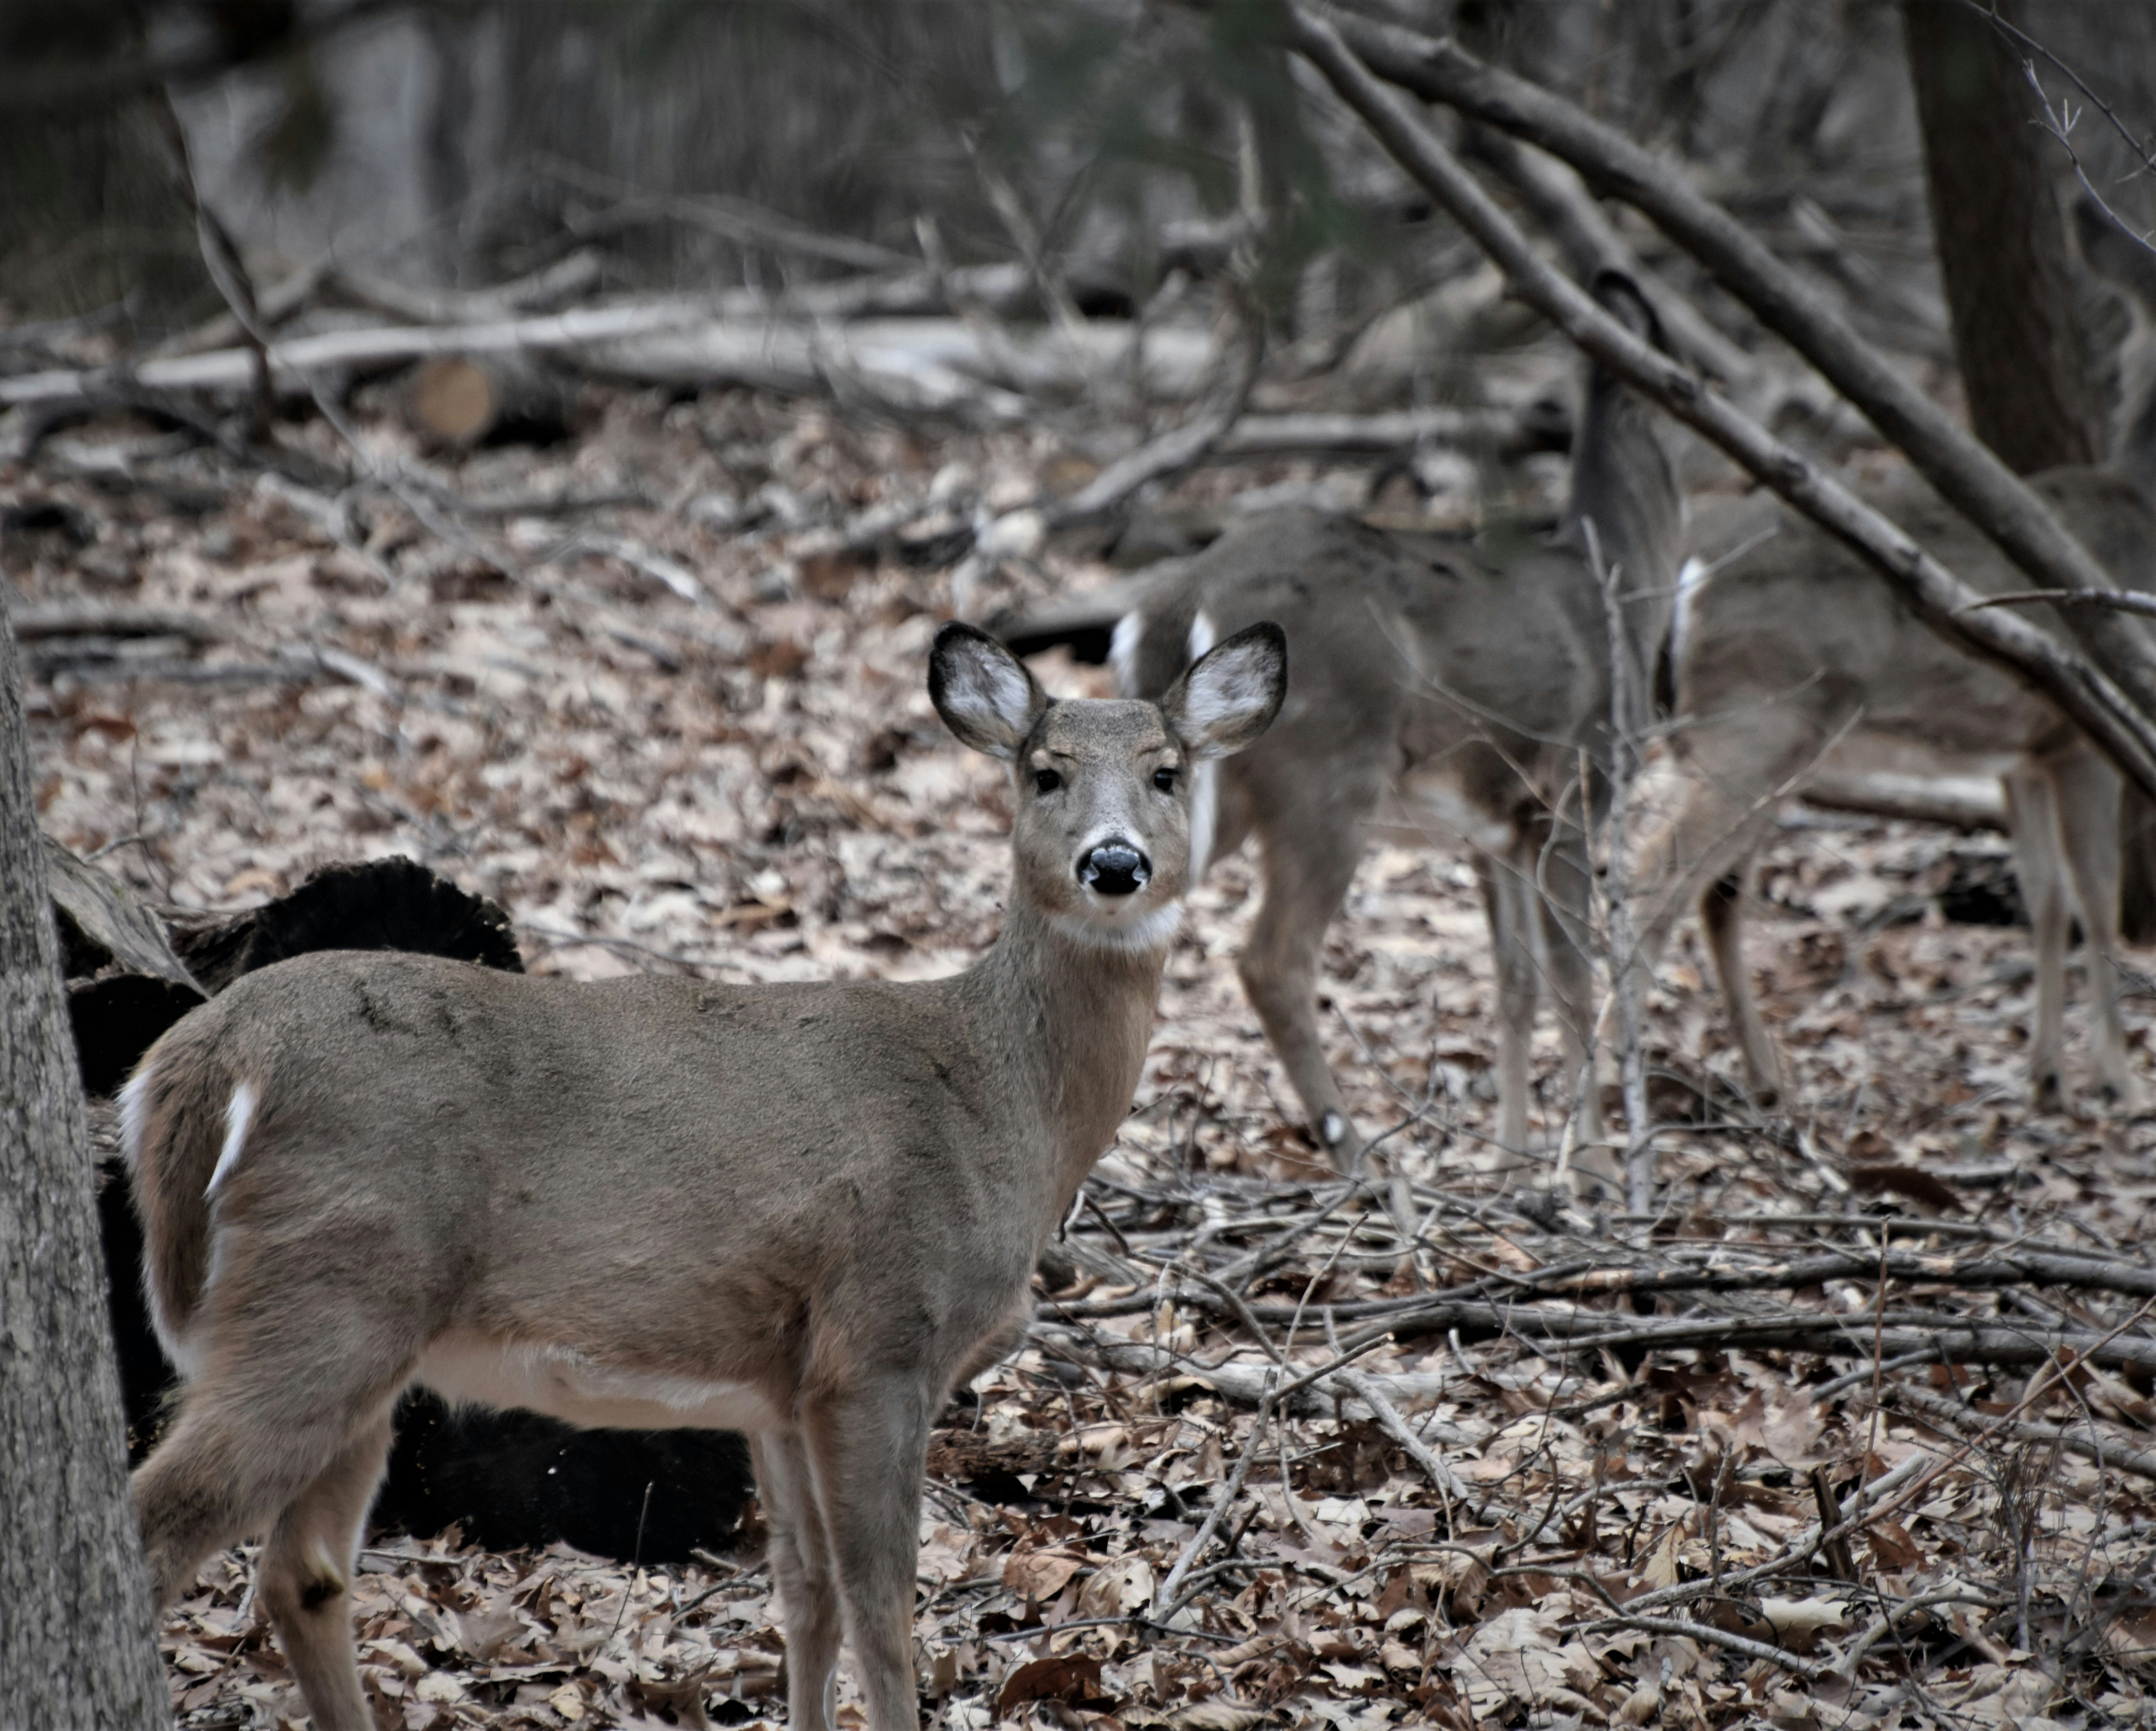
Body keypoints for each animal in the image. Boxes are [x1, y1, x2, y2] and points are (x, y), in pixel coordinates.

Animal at [118, 619, 1286, 1731]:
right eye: (1044, 771)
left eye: (1166, 769)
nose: (1114, 863)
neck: (997, 1097)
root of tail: (201, 1056)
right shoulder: (879, 1339)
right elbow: (882, 1605)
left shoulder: (780, 1386)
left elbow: (805, 1591)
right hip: (328, 1286)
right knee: (154, 1526)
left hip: (357, 1337)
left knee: (302, 1572)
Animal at [1004, 271, 1683, 1175]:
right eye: (1684, 376)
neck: (1617, 590)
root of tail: (1181, 595)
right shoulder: (1576, 789)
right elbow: (1576, 984)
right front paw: (1596, 1173)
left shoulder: (1493, 828)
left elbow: (1515, 984)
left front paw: (1511, 1164)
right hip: (1326, 769)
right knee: (1274, 960)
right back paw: (1355, 1152)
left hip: (1199, 788)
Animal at [1627, 207, 2156, 1115]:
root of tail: (1686, 569)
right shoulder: (2082, 725)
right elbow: (2092, 896)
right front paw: (2119, 1083)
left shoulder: (2021, 749)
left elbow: (2046, 897)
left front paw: (2045, 1076)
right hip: (1760, 716)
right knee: (1658, 869)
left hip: (1765, 734)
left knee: (1717, 891)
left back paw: (1765, 1083)